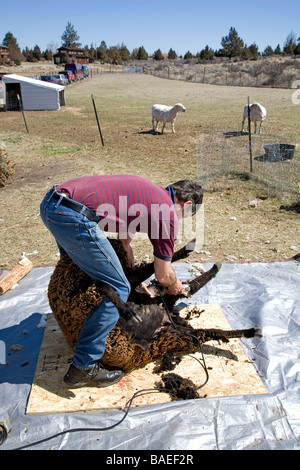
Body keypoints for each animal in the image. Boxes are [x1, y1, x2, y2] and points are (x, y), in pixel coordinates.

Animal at [47, 239, 258, 374]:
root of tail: (166, 312)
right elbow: (105, 286)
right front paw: (128, 311)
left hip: (169, 323)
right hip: (175, 331)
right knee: (209, 330)